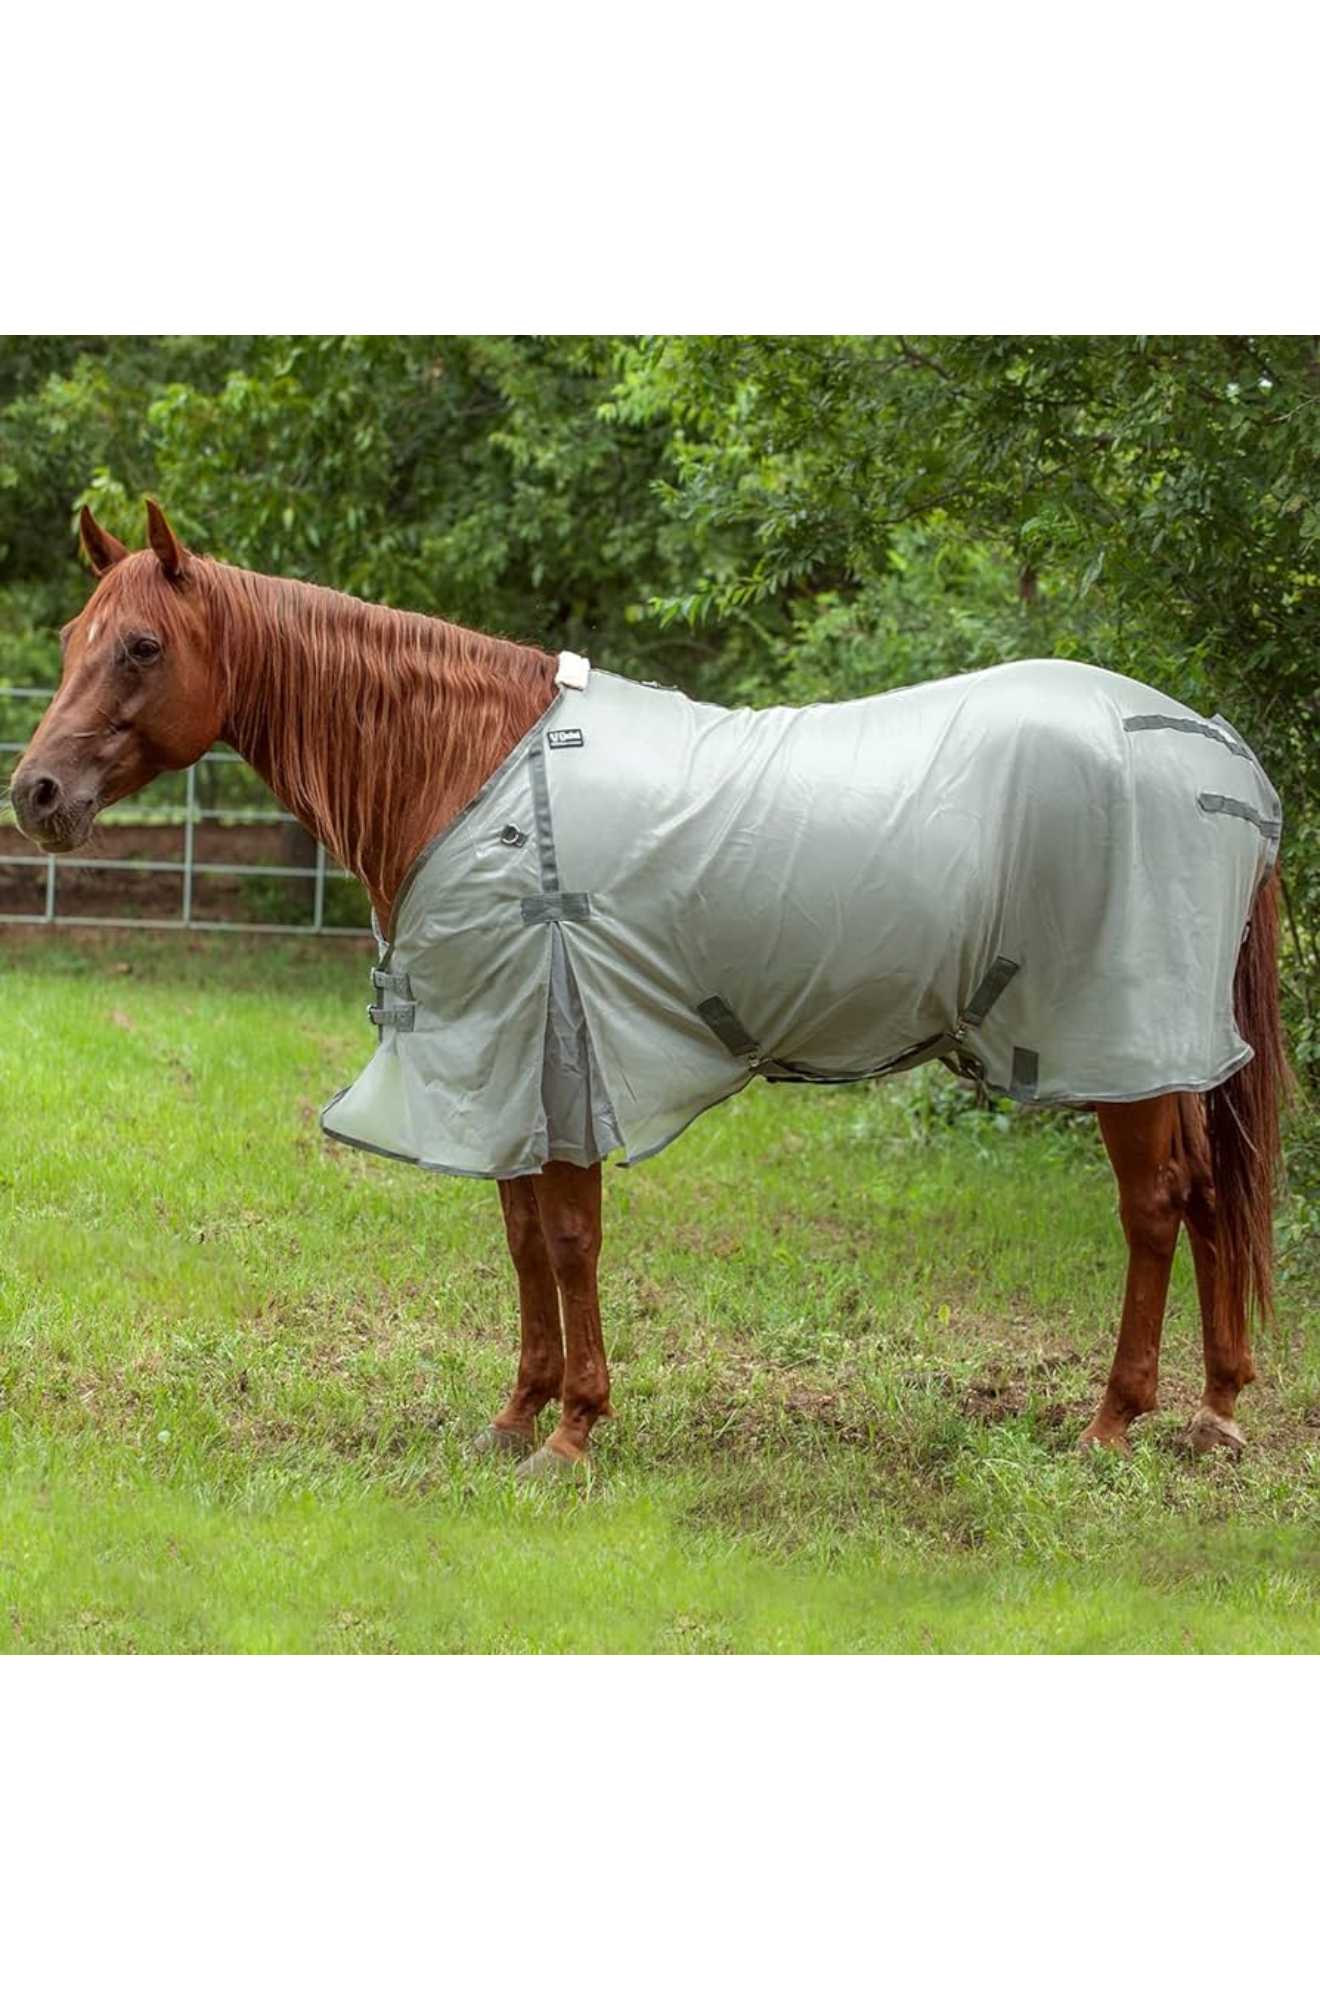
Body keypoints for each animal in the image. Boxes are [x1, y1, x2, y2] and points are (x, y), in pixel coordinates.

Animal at [9, 502, 1288, 1476]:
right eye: (73, 634)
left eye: (142, 647)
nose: (36, 794)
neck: (469, 771)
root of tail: (1221, 752)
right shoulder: (498, 1069)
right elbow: (522, 1237)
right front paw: (516, 1413)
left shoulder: (556, 1046)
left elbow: (571, 1237)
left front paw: (574, 1431)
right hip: (1166, 1048)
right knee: (1211, 1193)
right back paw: (1218, 1410)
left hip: (1117, 1038)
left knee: (1156, 1204)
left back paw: (1117, 1420)